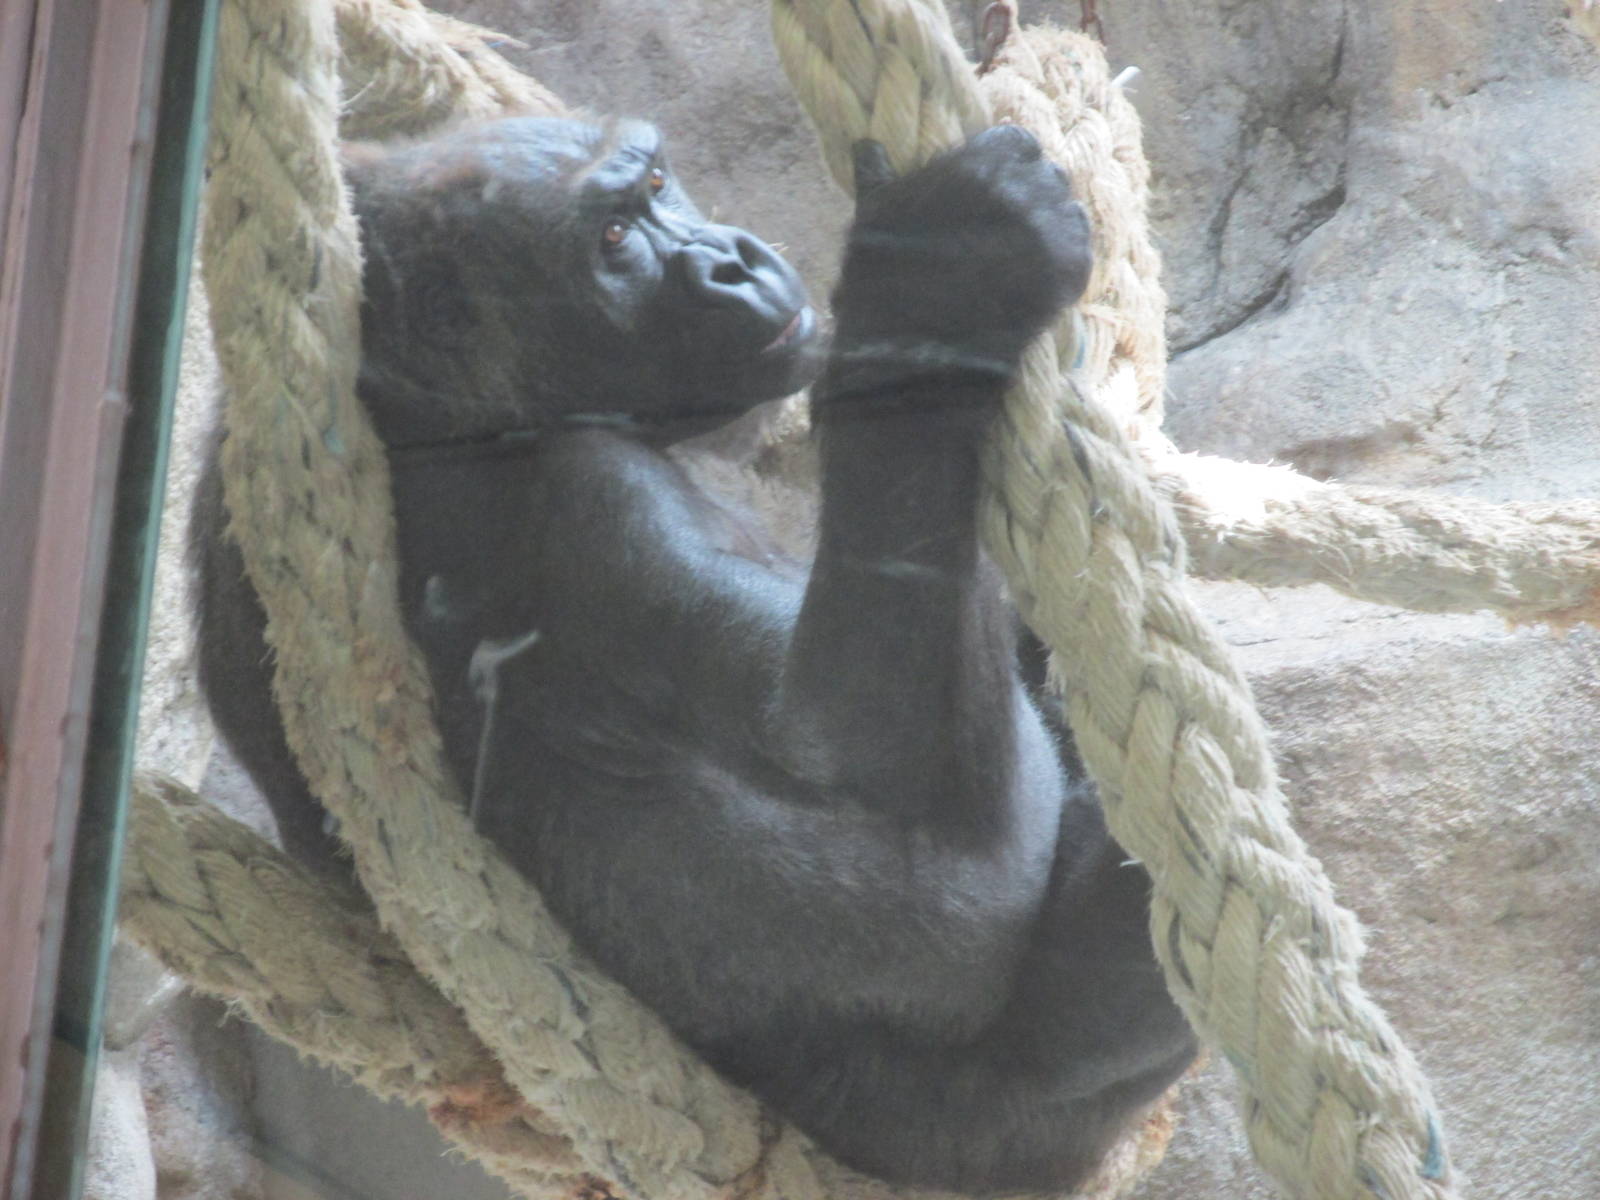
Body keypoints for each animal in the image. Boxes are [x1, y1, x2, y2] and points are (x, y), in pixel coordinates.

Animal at [190, 116, 1197, 1195]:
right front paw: (947, 277)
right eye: (613, 239)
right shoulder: (599, 502)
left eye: (659, 186)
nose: (731, 260)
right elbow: (925, 840)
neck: (431, 423)